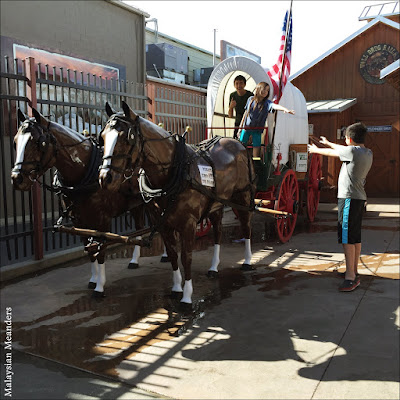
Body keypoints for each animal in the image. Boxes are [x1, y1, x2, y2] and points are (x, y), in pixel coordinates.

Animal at [11, 109, 148, 296]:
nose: (17, 178)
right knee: (141, 226)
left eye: (39, 143)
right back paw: (135, 261)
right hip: (136, 204)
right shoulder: (79, 220)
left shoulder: (103, 220)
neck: (84, 172)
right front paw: (93, 280)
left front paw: (100, 287)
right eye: (15, 141)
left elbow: (100, 249)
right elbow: (89, 250)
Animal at [99, 101, 255, 310]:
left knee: (246, 227)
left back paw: (247, 260)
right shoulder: (163, 223)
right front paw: (176, 288)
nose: (104, 178)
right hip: (216, 203)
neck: (174, 171)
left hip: (243, 197)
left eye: (126, 138)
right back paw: (214, 266)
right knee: (218, 232)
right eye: (102, 137)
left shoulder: (188, 224)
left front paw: (187, 296)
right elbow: (173, 255)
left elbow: (186, 257)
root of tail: (237, 143)